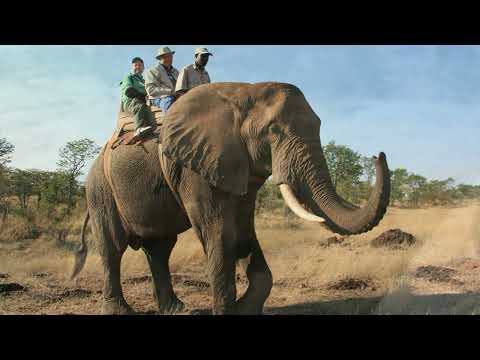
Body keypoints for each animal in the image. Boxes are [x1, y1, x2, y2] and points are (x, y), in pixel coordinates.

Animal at [70, 81, 390, 316]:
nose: (380, 155)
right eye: (273, 130)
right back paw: (120, 311)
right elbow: (220, 233)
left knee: (160, 249)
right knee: (113, 246)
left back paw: (177, 309)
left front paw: (243, 309)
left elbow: (244, 231)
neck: (243, 93)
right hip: (100, 189)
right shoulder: (195, 168)